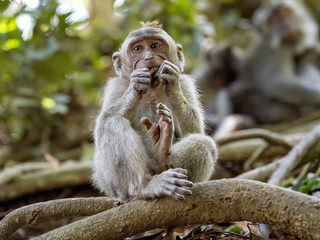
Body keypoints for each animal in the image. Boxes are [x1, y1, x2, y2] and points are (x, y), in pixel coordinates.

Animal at [91, 21, 219, 201]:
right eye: (137, 48)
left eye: (155, 45)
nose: (148, 57)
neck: (152, 90)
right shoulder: (116, 87)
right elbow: (103, 124)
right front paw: (135, 87)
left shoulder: (186, 84)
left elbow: (194, 131)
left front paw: (171, 82)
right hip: (110, 185)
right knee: (112, 124)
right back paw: (143, 187)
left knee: (203, 143)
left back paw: (162, 155)